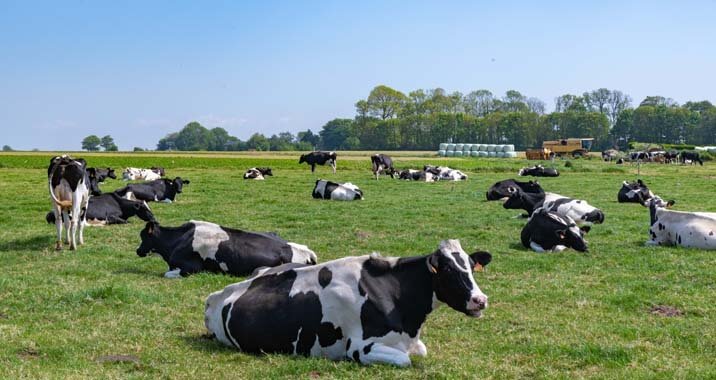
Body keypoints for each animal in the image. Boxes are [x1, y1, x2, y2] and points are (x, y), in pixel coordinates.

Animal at [201, 239, 492, 366]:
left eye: (471, 267)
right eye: (449, 270)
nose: (480, 300)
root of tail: (216, 295)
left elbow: (420, 352)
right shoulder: (360, 348)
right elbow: (406, 360)